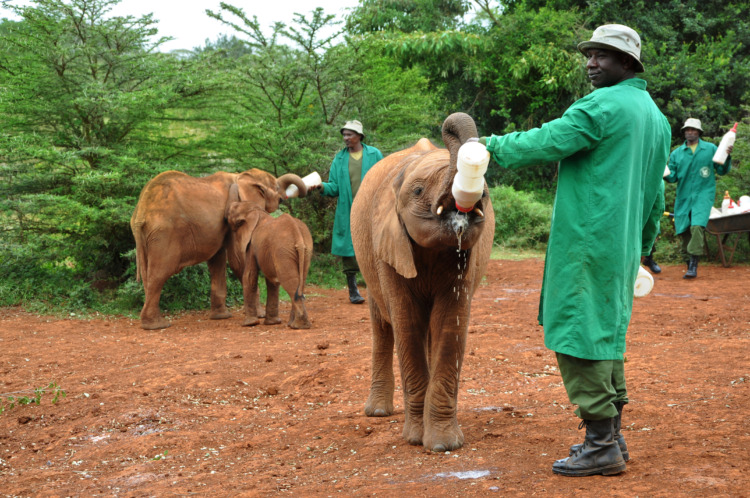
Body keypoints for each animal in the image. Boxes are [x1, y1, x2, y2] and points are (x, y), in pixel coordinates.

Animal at [226, 200, 314, 328]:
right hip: (306, 249)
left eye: (234, 209)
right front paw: (272, 323)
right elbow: (272, 280)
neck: (256, 210)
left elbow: (249, 275)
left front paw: (249, 324)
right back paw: (292, 324)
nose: (231, 203)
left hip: (282, 249)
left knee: (289, 281)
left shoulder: (252, 244)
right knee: (300, 281)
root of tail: (297, 234)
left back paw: (298, 326)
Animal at [354, 112, 496, 452]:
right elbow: (407, 323)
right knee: (382, 326)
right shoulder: (387, 244)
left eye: (484, 193)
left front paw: (444, 444)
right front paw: (417, 439)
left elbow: (449, 325)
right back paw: (377, 412)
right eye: (418, 192)